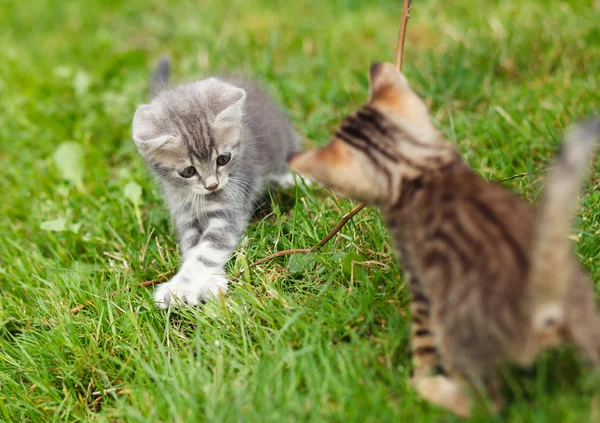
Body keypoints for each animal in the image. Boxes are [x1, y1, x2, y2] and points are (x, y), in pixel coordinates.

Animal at [132, 58, 298, 308]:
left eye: (223, 159)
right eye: (187, 171)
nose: (212, 185)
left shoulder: (229, 209)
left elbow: (207, 251)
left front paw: (181, 287)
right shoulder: (186, 216)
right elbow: (194, 250)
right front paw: (209, 281)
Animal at [288, 63, 600, 418]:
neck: (419, 169)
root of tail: (542, 300)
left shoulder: (420, 281)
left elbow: (422, 342)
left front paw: (419, 375)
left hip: (457, 331)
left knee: (485, 403)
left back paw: (434, 391)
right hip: (584, 308)